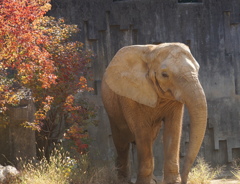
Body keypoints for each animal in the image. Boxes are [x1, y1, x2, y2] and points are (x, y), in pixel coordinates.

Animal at [100, 42, 207, 183]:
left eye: (198, 69)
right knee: (121, 143)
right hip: (112, 111)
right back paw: (122, 180)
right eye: (164, 75)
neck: (152, 51)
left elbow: (173, 129)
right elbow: (142, 131)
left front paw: (172, 182)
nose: (184, 179)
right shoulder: (130, 95)